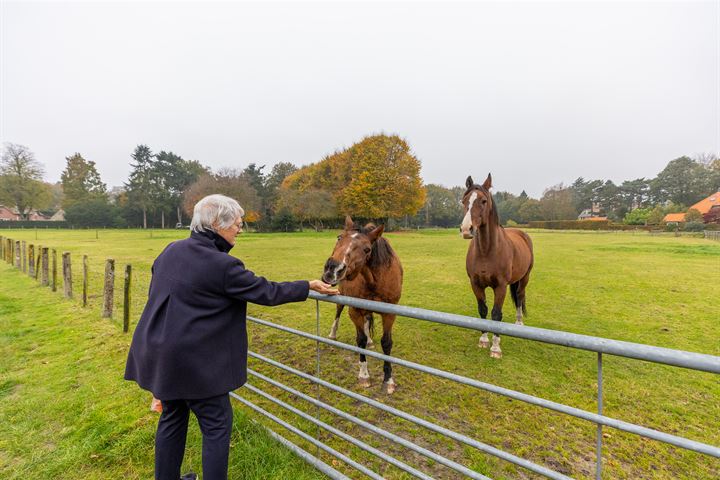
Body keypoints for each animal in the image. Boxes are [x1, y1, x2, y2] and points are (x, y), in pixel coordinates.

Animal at [322, 216, 402, 392]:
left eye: (367, 249)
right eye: (339, 237)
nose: (333, 269)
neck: (374, 280)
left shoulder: (390, 313)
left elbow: (386, 343)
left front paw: (388, 379)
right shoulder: (355, 310)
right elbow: (360, 341)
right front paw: (364, 375)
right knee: (338, 312)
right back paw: (332, 334)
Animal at [462, 174, 536, 358]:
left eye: (483, 201)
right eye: (464, 200)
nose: (466, 229)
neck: (486, 251)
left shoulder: (500, 286)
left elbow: (496, 314)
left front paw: (495, 348)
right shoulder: (476, 284)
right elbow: (482, 310)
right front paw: (483, 340)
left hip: (525, 278)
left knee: (520, 296)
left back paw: (519, 323)